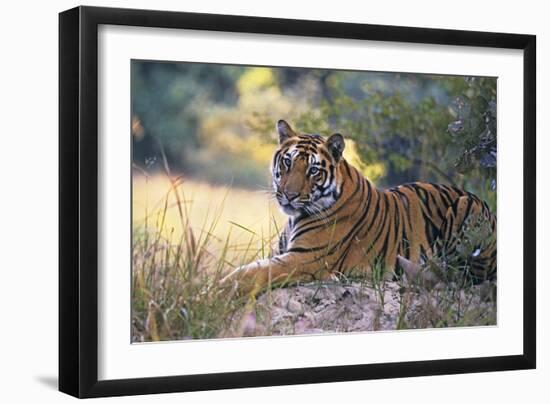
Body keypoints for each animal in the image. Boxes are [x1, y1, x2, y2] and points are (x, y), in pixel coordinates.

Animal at [222, 118, 498, 296]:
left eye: (313, 170)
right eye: (288, 162)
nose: (289, 196)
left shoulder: (304, 259)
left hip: (467, 210)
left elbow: (249, 273)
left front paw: (216, 291)